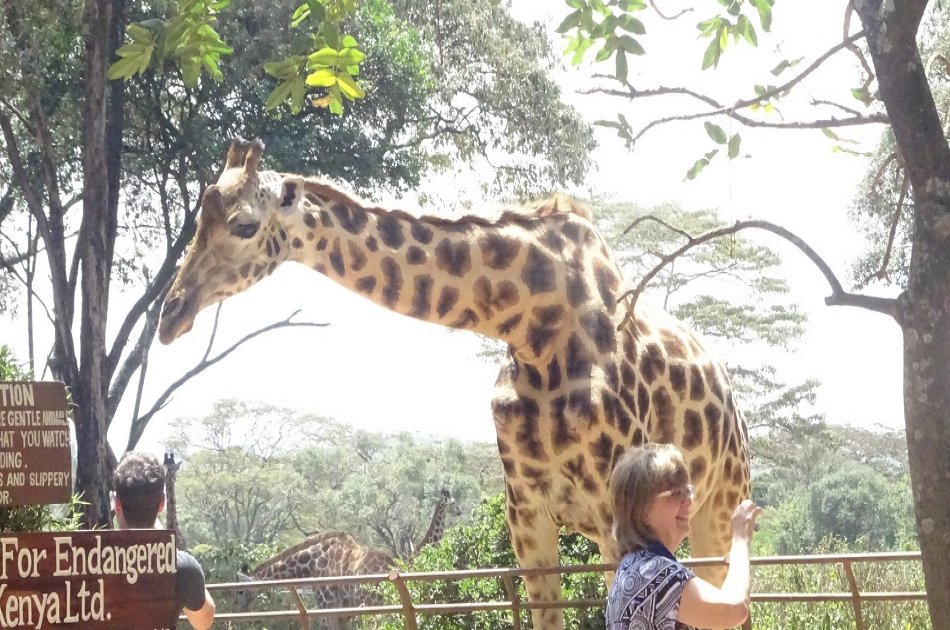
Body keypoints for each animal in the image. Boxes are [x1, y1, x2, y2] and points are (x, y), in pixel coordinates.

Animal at [159, 138, 751, 629]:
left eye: (243, 225)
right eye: (200, 219)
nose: (171, 313)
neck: (531, 329)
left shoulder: (612, 512)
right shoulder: (526, 516)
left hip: (720, 504)